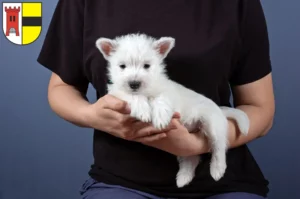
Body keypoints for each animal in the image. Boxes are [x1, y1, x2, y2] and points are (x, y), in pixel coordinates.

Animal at [95, 33, 250, 188]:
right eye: (122, 66)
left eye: (147, 66)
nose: (134, 84)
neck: (146, 91)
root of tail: (220, 111)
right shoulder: (117, 93)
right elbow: (132, 96)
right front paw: (142, 109)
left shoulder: (166, 92)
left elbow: (161, 100)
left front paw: (160, 118)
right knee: (191, 158)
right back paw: (183, 178)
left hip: (212, 124)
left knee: (219, 146)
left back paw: (217, 169)